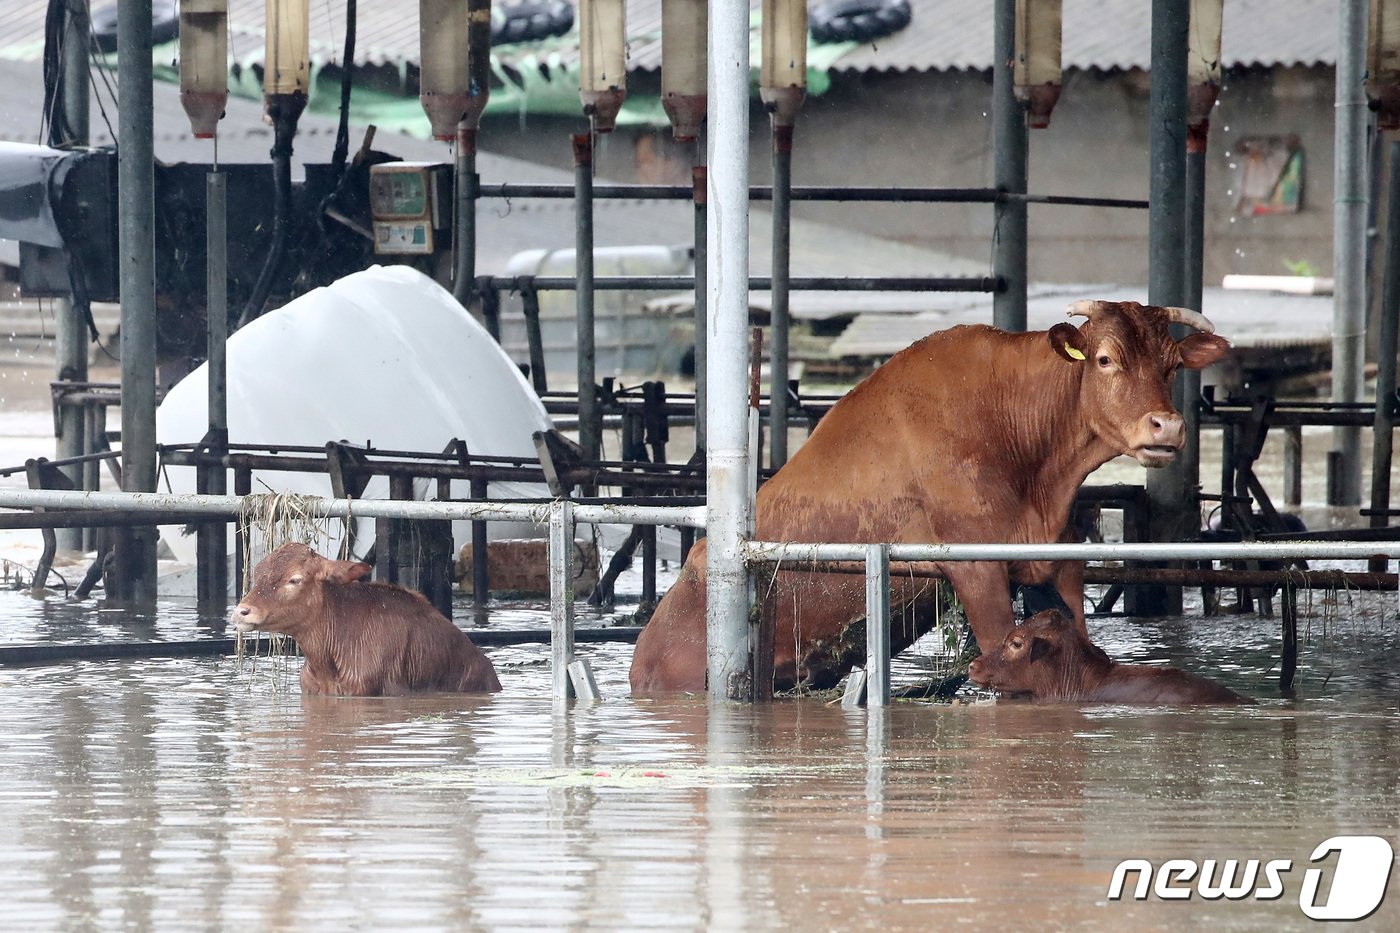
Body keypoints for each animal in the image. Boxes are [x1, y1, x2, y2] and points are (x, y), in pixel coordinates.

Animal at [630, 298, 1232, 689]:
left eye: (1172, 365)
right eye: (1105, 359)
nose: (1167, 427)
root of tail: (644, 654)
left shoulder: (1058, 562)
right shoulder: (976, 568)